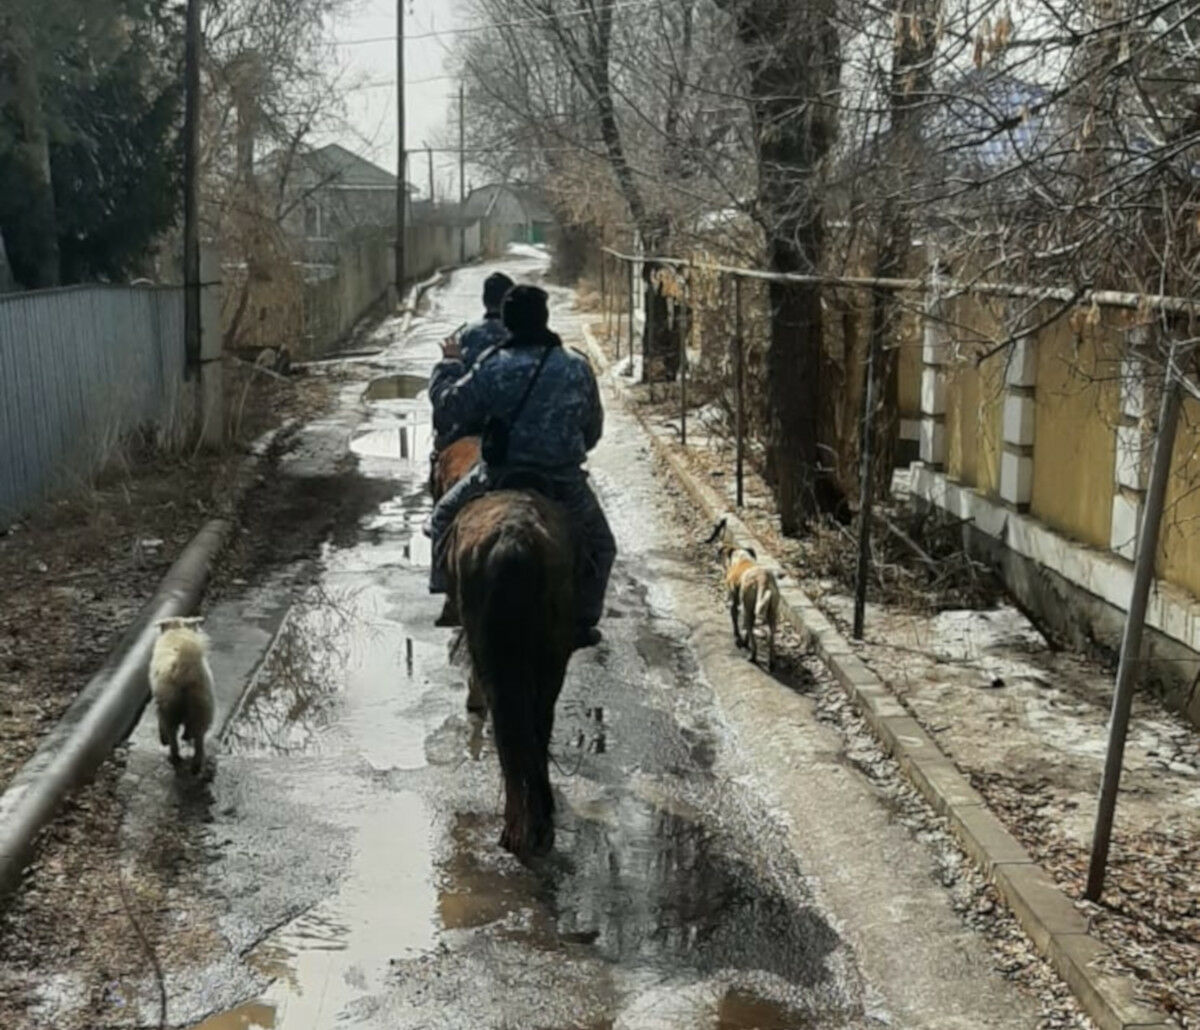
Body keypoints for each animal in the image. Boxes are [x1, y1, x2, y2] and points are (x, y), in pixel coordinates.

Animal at [150, 609, 216, 768]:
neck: (176, 629)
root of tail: (184, 669)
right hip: (202, 706)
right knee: (198, 739)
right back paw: (195, 764)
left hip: (168, 707)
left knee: (173, 736)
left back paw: (174, 755)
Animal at [436, 434, 576, 859]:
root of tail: (513, 540)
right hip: (550, 657)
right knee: (534, 723)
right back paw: (536, 823)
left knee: (514, 725)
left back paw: (521, 828)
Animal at [705, 518, 782, 672]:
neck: (742, 557)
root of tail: (763, 580)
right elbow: (745, 629)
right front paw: (744, 640)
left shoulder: (734, 602)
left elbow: (735, 620)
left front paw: (738, 638)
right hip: (771, 613)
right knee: (769, 635)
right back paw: (770, 661)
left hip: (749, 608)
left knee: (752, 633)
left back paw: (752, 656)